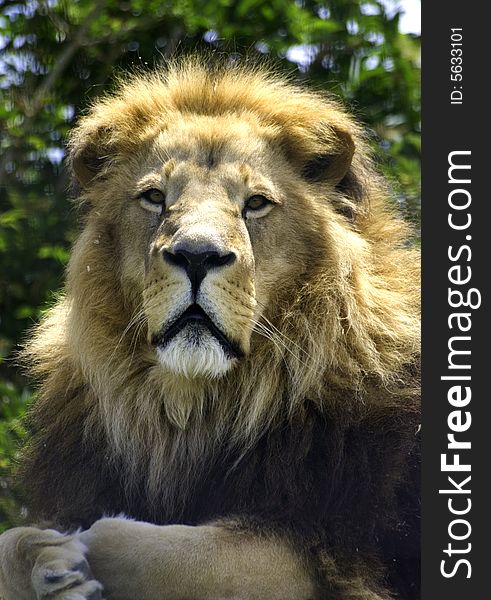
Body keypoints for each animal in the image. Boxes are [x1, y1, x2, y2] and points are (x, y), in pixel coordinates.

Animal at [0, 57, 422, 600]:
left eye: (256, 203)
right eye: (154, 198)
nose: (197, 256)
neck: (191, 411)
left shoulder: (313, 553)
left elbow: (123, 540)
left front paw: (67, 554)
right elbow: (11, 540)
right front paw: (45, 556)